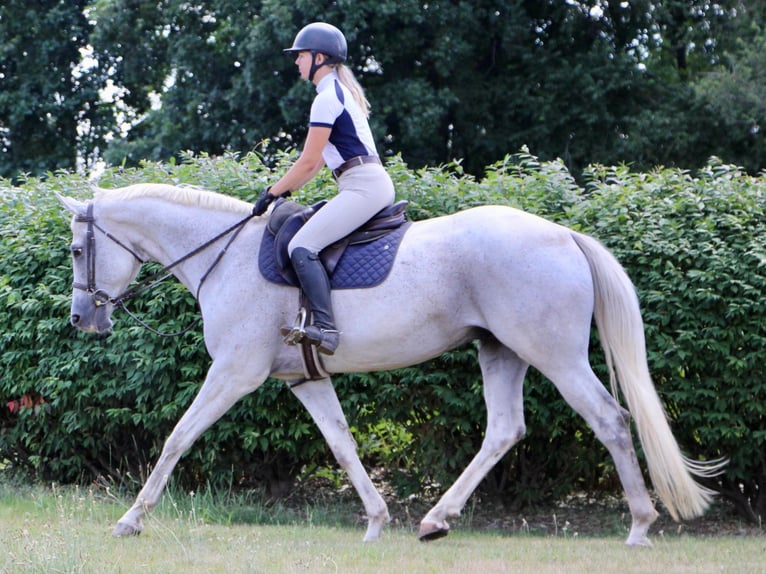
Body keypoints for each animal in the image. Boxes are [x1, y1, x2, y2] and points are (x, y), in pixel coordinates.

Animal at [57, 184, 724, 548]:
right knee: (505, 429)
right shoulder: (304, 380)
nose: (80, 319)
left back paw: (639, 524)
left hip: (553, 355)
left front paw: (130, 520)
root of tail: (563, 234)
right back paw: (435, 519)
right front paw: (377, 521)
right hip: (500, 352)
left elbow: (177, 438)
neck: (227, 255)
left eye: (77, 249)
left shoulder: (234, 373)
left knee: (609, 420)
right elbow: (343, 445)